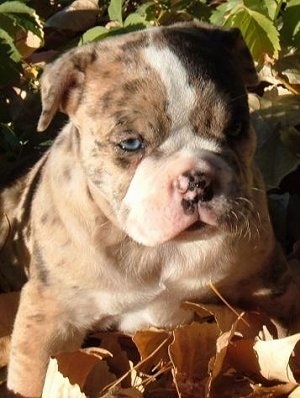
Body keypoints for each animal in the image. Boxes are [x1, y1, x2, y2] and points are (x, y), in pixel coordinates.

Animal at [0, 22, 298, 398]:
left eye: (236, 128)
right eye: (130, 143)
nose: (197, 180)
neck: (161, 251)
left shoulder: (270, 284)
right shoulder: (50, 313)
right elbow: (34, 376)